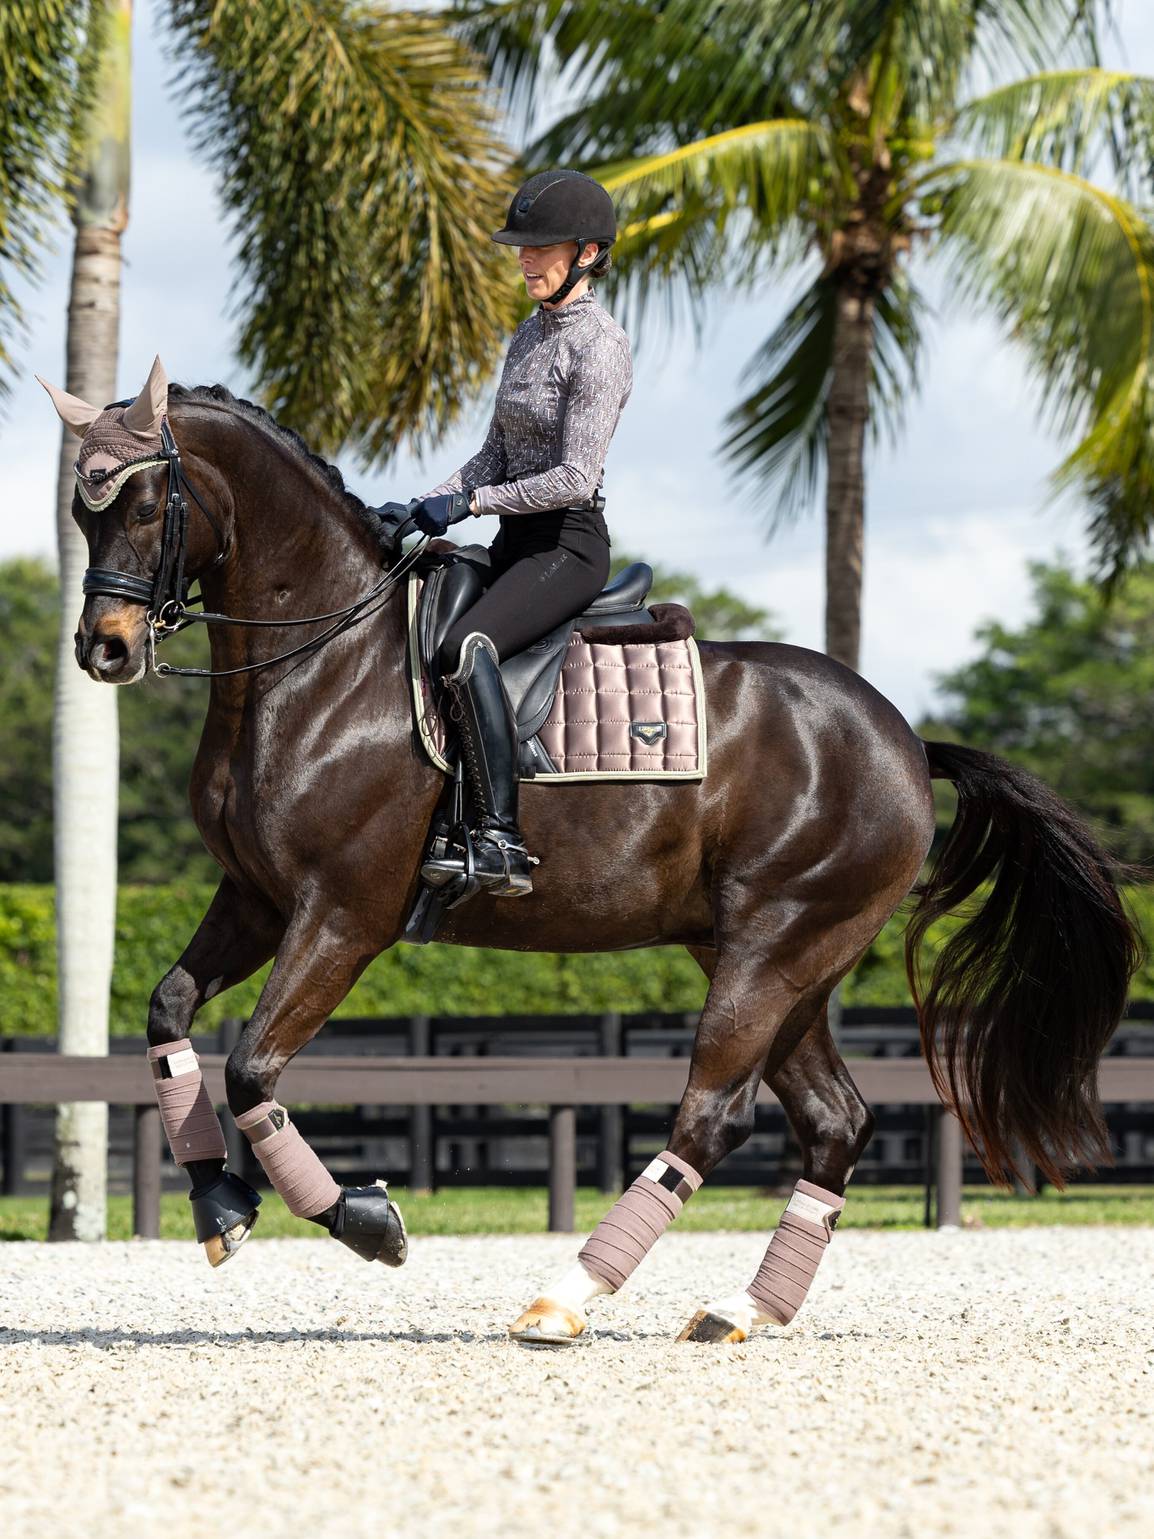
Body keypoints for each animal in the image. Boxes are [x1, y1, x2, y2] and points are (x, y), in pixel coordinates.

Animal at [49, 362, 1141, 1346]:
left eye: (143, 503)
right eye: (79, 511)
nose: (104, 649)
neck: (323, 662)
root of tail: (906, 739)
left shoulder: (342, 916)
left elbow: (253, 1068)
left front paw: (366, 1220)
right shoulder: (256, 899)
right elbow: (168, 1013)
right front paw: (219, 1204)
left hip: (774, 949)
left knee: (711, 1117)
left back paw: (563, 1300)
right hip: (774, 961)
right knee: (833, 1120)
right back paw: (743, 1309)